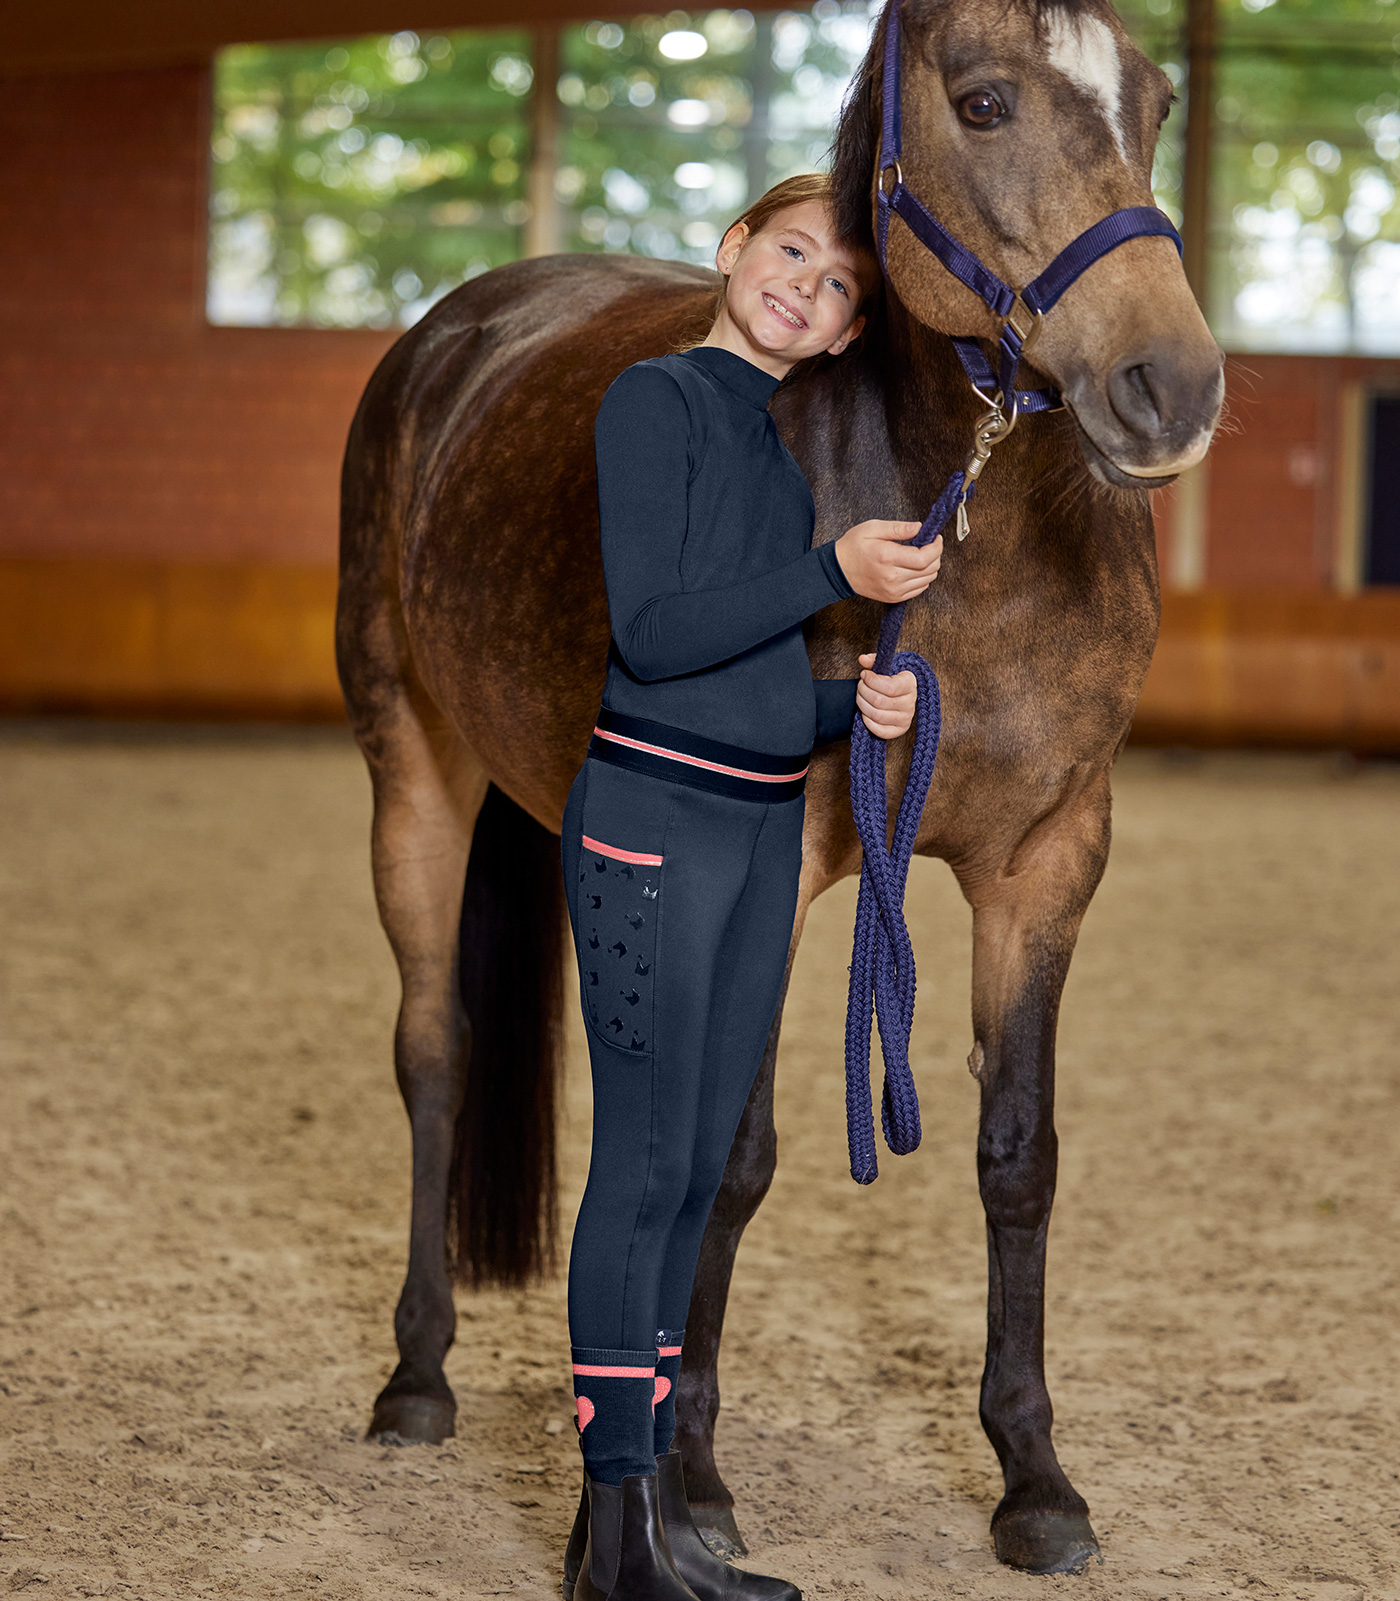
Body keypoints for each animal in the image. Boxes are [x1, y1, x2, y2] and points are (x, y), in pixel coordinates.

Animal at [333, 0, 1217, 1575]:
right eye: (982, 102)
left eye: (1160, 101)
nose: (1170, 389)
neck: (976, 537)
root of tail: (460, 331)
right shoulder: (788, 851)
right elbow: (735, 1158)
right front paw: (689, 1487)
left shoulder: (1050, 858)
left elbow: (1017, 1153)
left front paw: (1036, 1481)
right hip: (412, 772)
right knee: (433, 1052)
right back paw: (420, 1375)